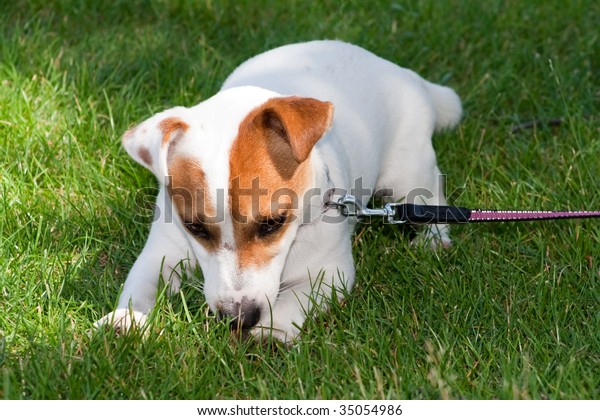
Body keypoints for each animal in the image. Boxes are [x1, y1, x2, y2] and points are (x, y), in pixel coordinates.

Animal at [94, 40, 462, 342]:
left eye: (273, 223)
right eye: (195, 227)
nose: (238, 318)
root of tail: (402, 72)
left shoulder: (331, 274)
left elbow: (294, 301)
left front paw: (269, 332)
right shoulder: (163, 250)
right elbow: (142, 282)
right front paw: (126, 319)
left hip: (407, 172)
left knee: (431, 194)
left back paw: (433, 238)